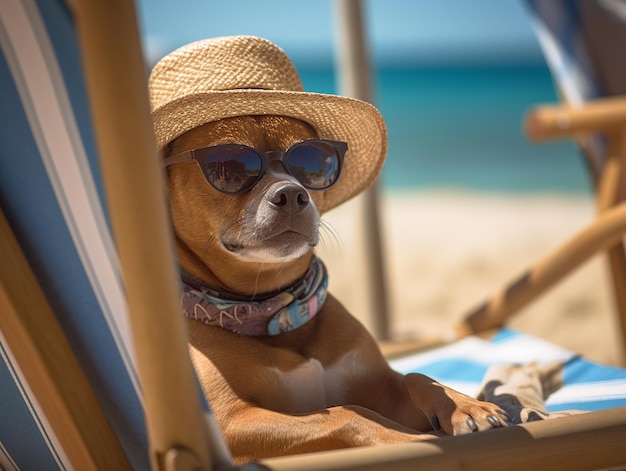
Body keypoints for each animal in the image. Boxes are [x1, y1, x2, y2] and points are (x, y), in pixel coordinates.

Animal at [152, 36, 508, 464]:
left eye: (314, 162)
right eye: (228, 167)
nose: (292, 194)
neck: (278, 312)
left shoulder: (379, 383)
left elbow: (416, 377)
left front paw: (465, 405)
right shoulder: (230, 423)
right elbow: (344, 413)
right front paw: (404, 438)